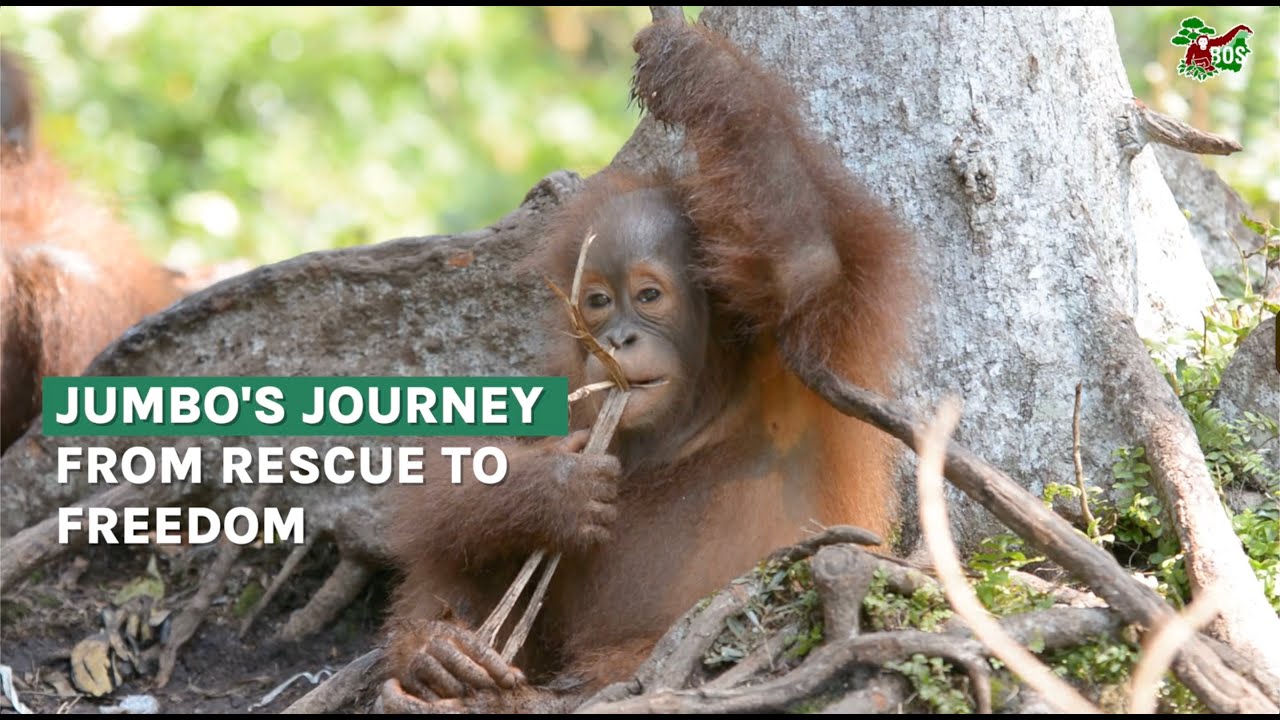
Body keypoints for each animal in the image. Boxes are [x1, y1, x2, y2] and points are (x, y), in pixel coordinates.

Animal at [379, 16, 916, 712]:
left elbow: (808, 261)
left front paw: (696, 68)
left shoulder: (811, 338)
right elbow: (443, 483)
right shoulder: (568, 376)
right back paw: (438, 657)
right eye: (598, 301)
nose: (619, 338)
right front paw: (550, 490)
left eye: (649, 295)